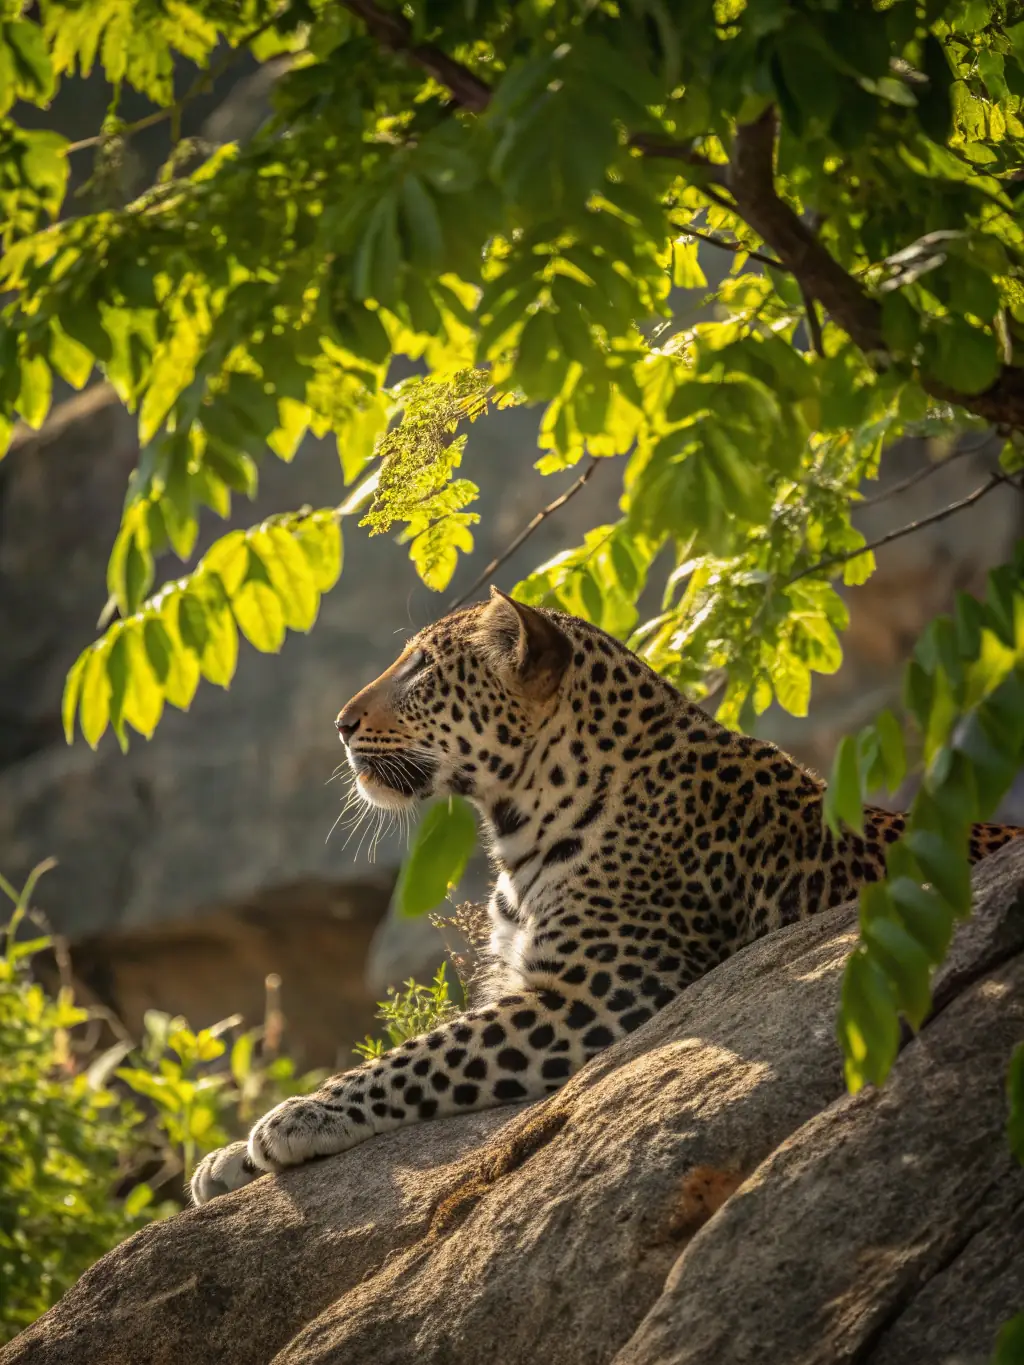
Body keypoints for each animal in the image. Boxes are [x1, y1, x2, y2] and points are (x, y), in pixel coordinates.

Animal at [191, 587, 1023, 1204]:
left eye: (422, 671)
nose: (340, 724)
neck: (520, 821)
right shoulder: (525, 979)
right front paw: (229, 1159)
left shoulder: (599, 993)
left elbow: (420, 1052)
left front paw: (298, 1115)